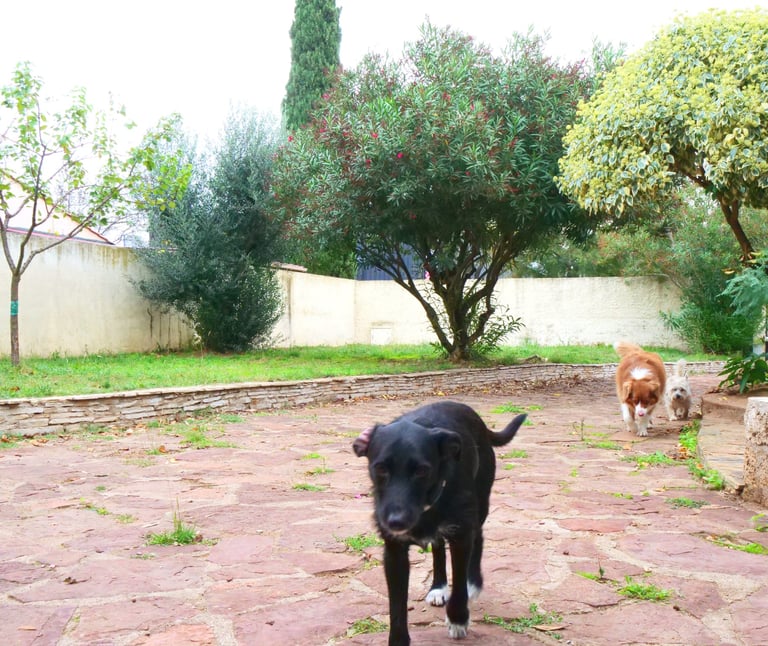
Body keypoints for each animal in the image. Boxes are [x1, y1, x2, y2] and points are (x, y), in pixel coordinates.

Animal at [352, 401, 527, 645]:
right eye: (380, 468)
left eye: (422, 471)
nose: (396, 522)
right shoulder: (394, 553)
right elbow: (396, 608)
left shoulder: (461, 535)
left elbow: (459, 584)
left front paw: (458, 619)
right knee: (437, 548)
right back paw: (438, 587)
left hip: (480, 503)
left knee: (478, 538)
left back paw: (473, 583)